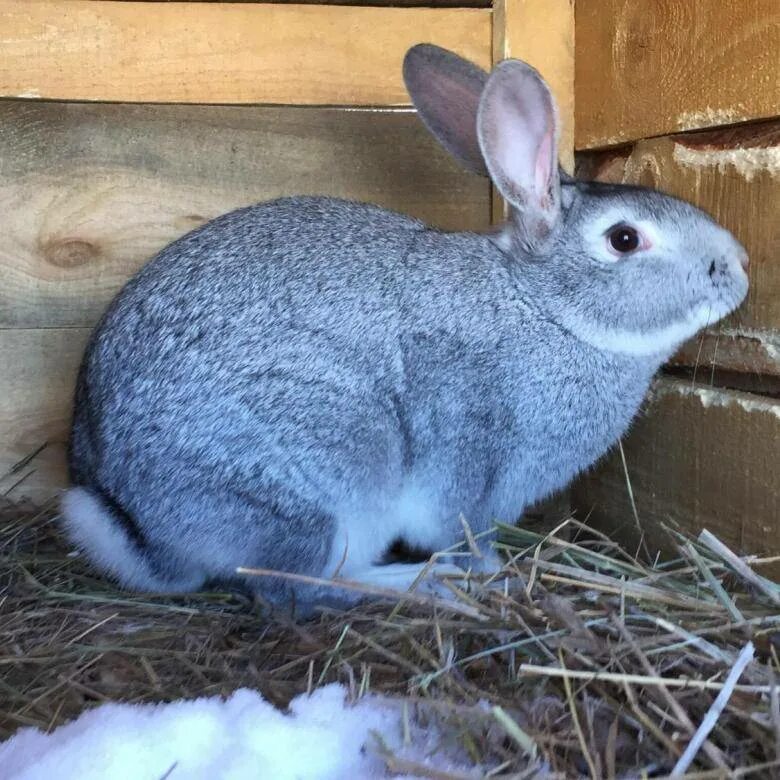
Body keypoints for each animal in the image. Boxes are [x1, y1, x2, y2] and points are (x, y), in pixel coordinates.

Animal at [62, 45, 748, 612]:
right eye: (624, 239)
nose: (740, 269)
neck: (542, 307)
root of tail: (142, 533)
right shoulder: (470, 456)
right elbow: (463, 531)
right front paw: (492, 574)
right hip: (323, 472)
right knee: (299, 587)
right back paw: (423, 586)